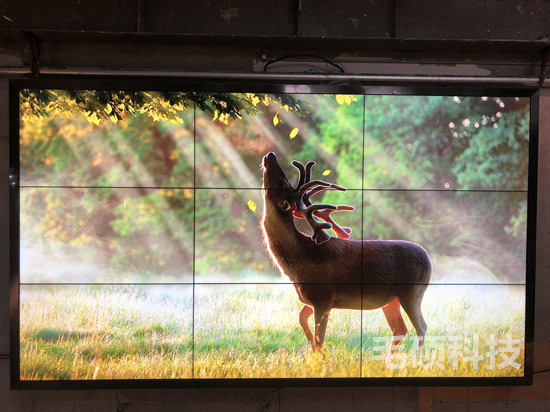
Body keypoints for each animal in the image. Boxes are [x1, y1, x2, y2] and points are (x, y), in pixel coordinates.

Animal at [260, 152, 432, 353]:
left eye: (282, 182)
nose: (271, 155)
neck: (298, 261)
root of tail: (428, 260)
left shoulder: (323, 296)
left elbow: (320, 339)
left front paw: (318, 356)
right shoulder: (312, 299)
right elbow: (302, 319)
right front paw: (310, 348)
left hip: (412, 292)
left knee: (421, 326)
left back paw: (417, 358)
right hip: (392, 300)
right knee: (400, 328)